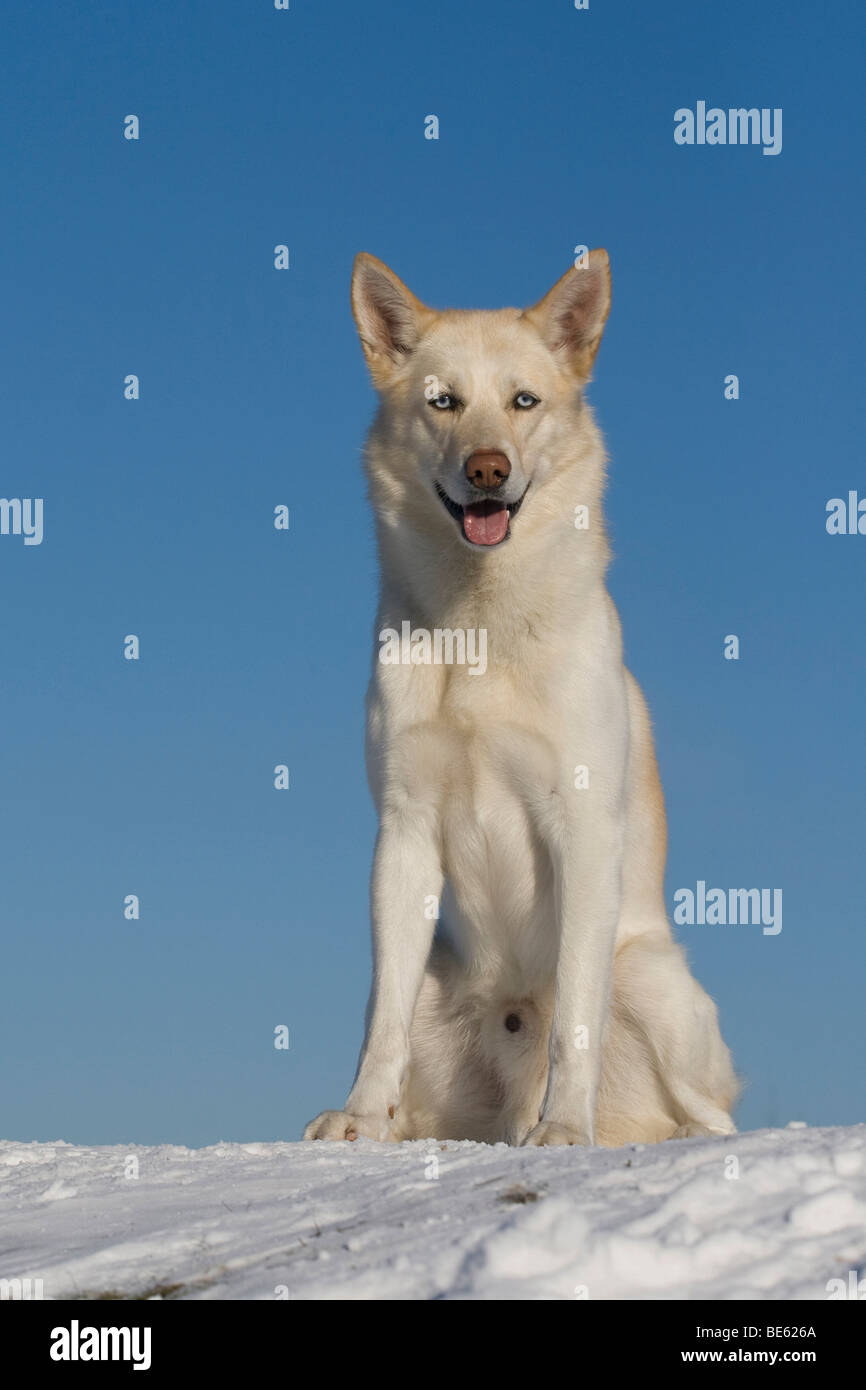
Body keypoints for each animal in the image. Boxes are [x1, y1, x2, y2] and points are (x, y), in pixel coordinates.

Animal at [303, 255, 739, 1145]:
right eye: (443, 401)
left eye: (523, 401)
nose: (487, 469)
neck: (481, 631)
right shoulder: (403, 831)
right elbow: (382, 1024)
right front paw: (359, 1116)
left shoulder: (581, 829)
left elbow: (575, 1015)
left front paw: (564, 1130)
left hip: (652, 979)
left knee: (706, 1114)